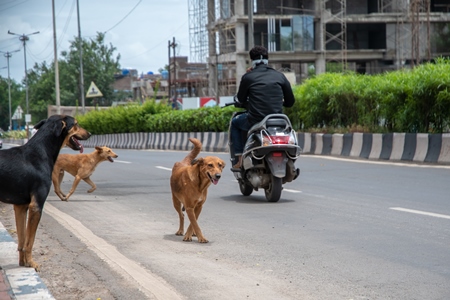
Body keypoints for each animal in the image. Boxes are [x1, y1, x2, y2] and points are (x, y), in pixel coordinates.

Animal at [0, 114, 90, 270]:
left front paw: (23, 263)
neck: (40, 151)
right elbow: (30, 241)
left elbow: (22, 241)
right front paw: (31, 263)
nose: (90, 133)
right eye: (76, 124)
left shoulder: (20, 207)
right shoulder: (36, 206)